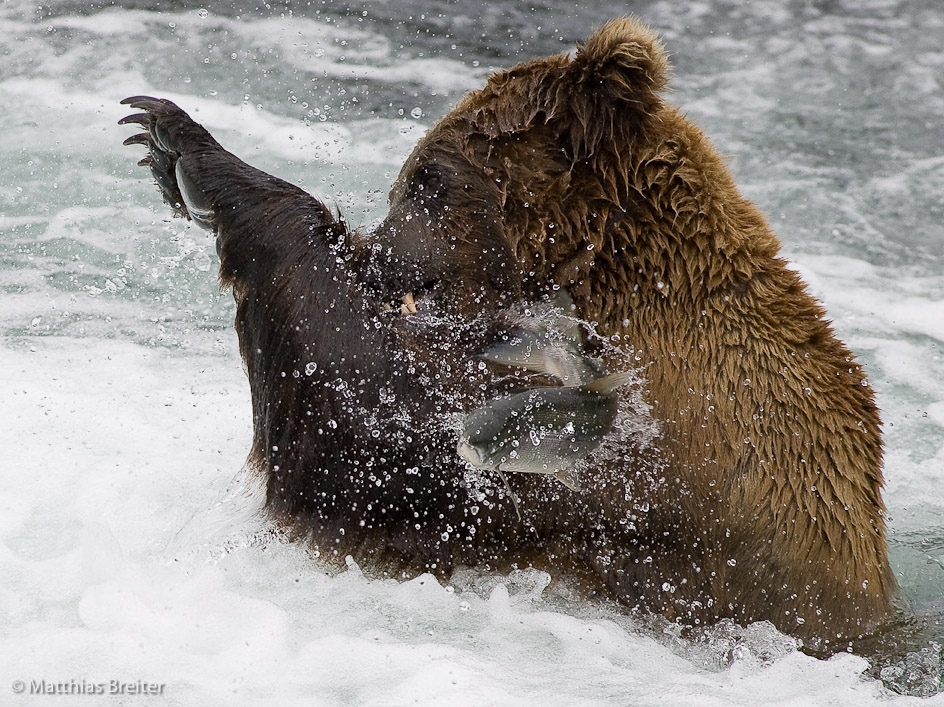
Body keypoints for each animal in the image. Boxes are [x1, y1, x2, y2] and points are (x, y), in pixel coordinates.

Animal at [120, 17, 897, 653]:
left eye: (427, 177)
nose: (377, 258)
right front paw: (161, 143)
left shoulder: (673, 456)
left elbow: (371, 439)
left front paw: (186, 146)